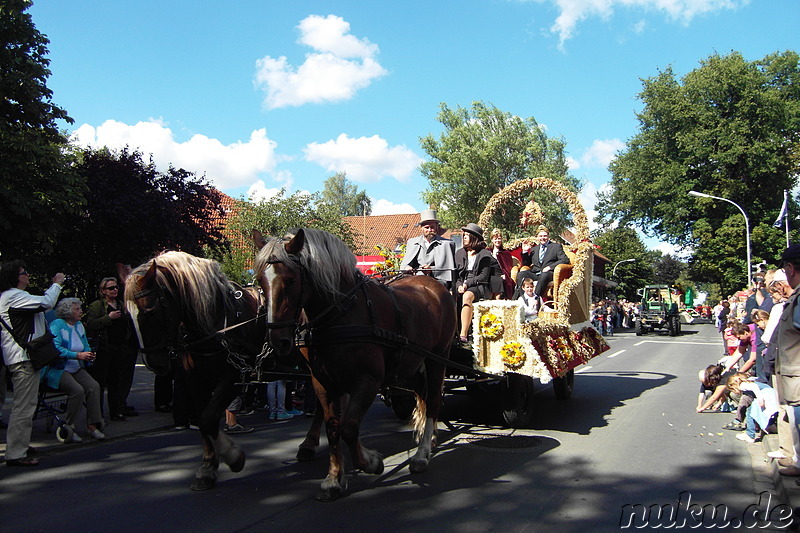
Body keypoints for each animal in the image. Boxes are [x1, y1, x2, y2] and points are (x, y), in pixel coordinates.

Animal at [253, 228, 460, 498]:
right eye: (260, 281)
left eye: (290, 280)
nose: (278, 340)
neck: (341, 313)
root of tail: (433, 284)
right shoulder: (322, 381)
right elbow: (333, 427)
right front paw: (333, 478)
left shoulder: (367, 381)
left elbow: (349, 427)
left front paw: (371, 462)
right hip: (412, 364)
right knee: (423, 397)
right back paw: (430, 437)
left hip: (437, 358)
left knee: (434, 400)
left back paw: (421, 455)